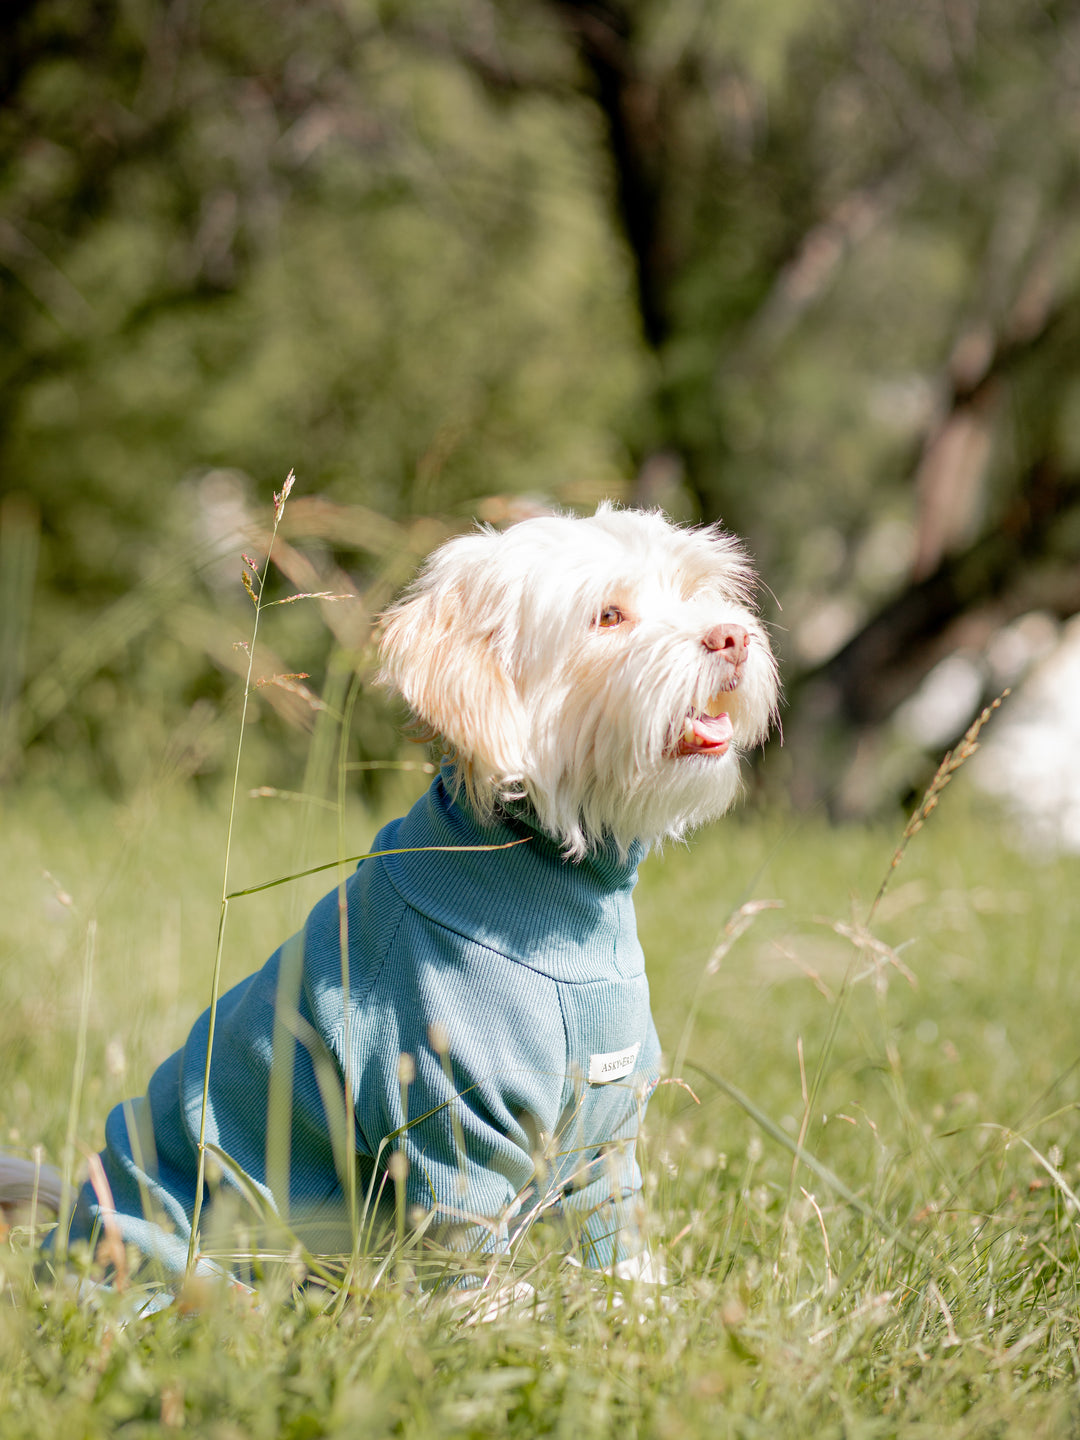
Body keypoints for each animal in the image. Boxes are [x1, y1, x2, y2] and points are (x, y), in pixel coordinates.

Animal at [0, 504, 777, 1284]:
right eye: (608, 616)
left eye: (695, 590)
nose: (731, 636)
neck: (554, 884)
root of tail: (66, 1230)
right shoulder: (452, 1129)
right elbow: (473, 1264)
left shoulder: (607, 1142)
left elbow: (617, 1244)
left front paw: (641, 1305)